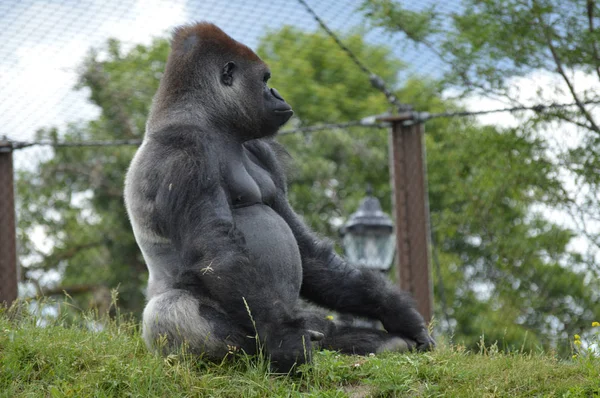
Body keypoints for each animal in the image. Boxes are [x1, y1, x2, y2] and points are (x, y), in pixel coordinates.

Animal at [125, 21, 436, 372]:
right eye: (265, 79)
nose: (277, 93)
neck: (209, 120)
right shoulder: (184, 149)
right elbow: (216, 249)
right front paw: (285, 341)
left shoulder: (262, 150)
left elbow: (305, 248)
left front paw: (395, 310)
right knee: (170, 309)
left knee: (322, 330)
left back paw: (377, 342)